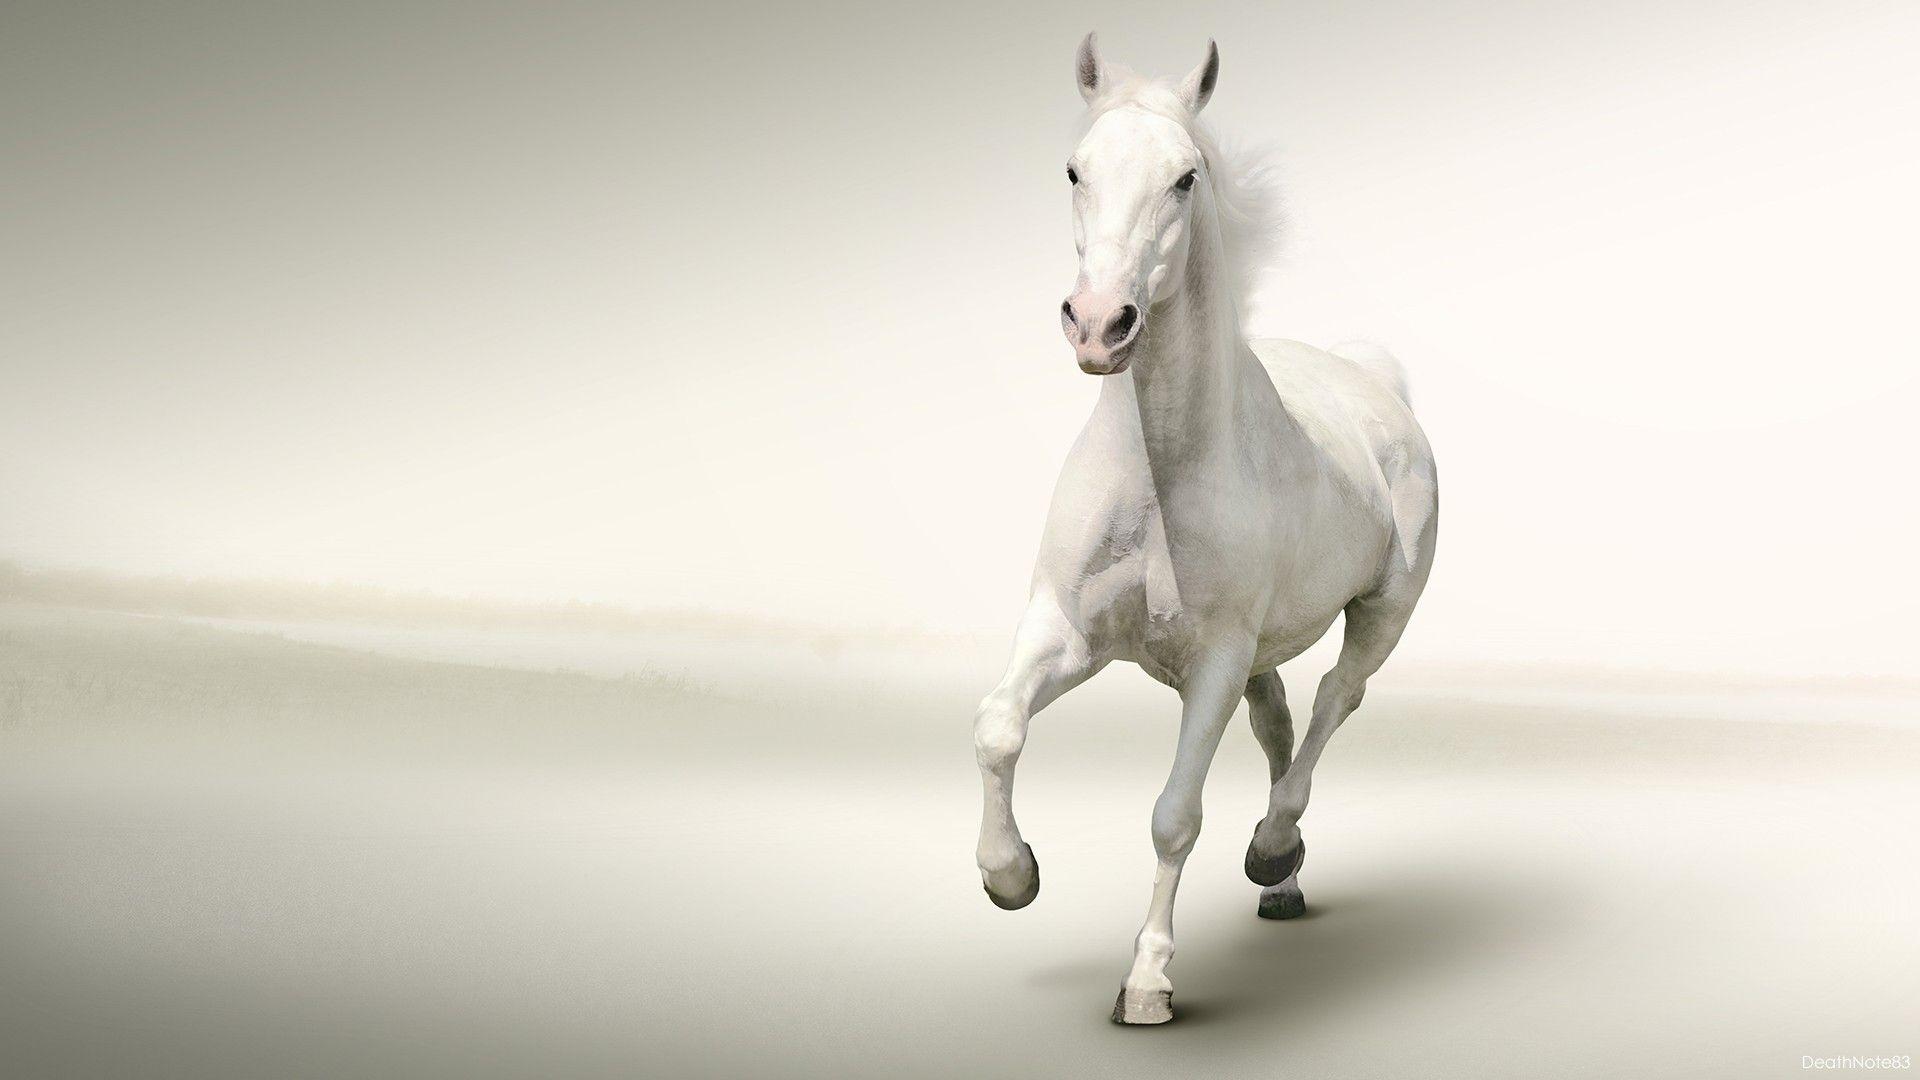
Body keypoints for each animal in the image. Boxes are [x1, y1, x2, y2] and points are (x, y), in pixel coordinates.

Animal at [971, 34, 1439, 1025]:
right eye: (1074, 168)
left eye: (1185, 178)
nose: (1099, 324)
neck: (1159, 476)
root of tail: (1372, 380)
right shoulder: (1067, 630)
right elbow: (997, 726)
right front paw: (1010, 876)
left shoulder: (1214, 662)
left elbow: (1174, 815)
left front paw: (1147, 983)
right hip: (1265, 652)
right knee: (1281, 720)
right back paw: (1284, 884)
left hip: (1382, 613)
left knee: (1337, 699)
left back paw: (1273, 848)